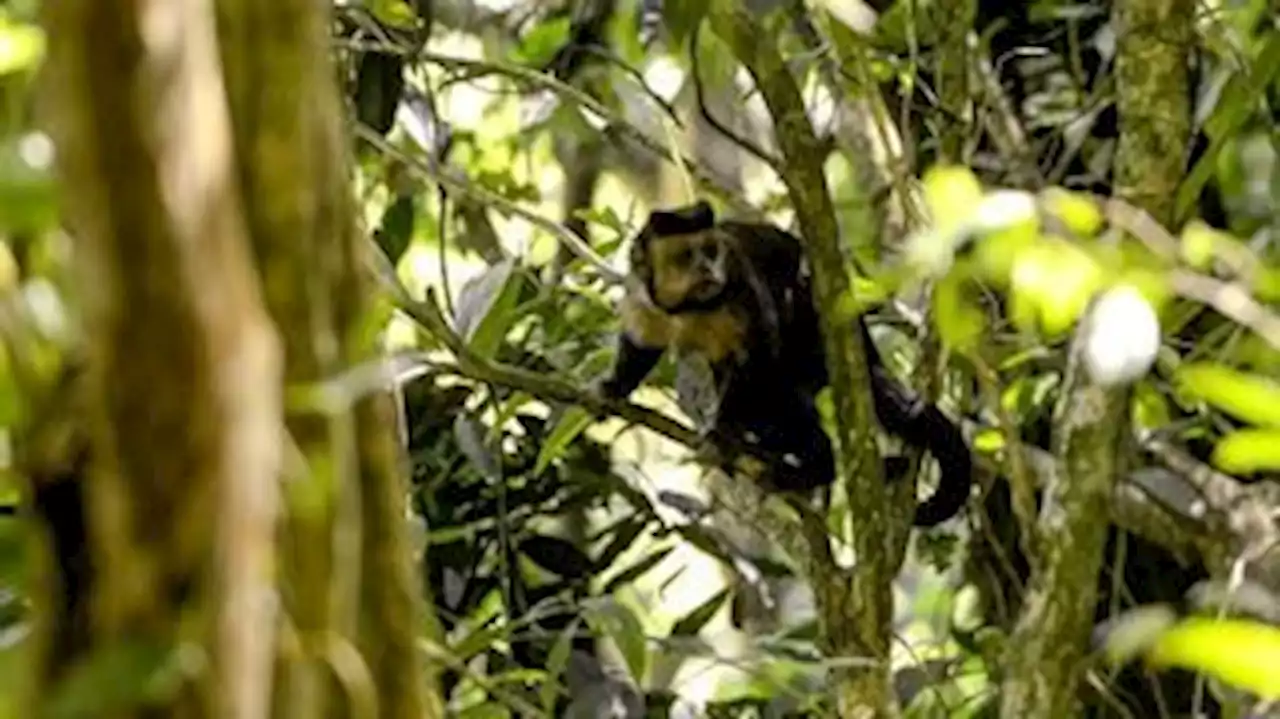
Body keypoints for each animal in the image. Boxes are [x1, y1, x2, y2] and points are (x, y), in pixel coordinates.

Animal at [596, 198, 967, 524]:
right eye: (686, 255)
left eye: (711, 251)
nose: (707, 268)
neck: (687, 306)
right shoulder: (642, 294)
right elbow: (641, 345)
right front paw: (615, 387)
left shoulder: (737, 279)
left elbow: (759, 351)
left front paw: (723, 432)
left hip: (813, 331)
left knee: (778, 388)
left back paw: (815, 467)